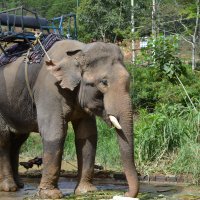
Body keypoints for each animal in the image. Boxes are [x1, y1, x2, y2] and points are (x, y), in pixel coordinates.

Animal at [0, 40, 139, 198]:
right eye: (104, 82)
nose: (126, 193)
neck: (78, 52)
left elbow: (87, 134)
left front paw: (86, 191)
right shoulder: (49, 89)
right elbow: (54, 132)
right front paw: (51, 195)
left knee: (18, 140)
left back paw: (19, 185)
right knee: (4, 139)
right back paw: (9, 187)